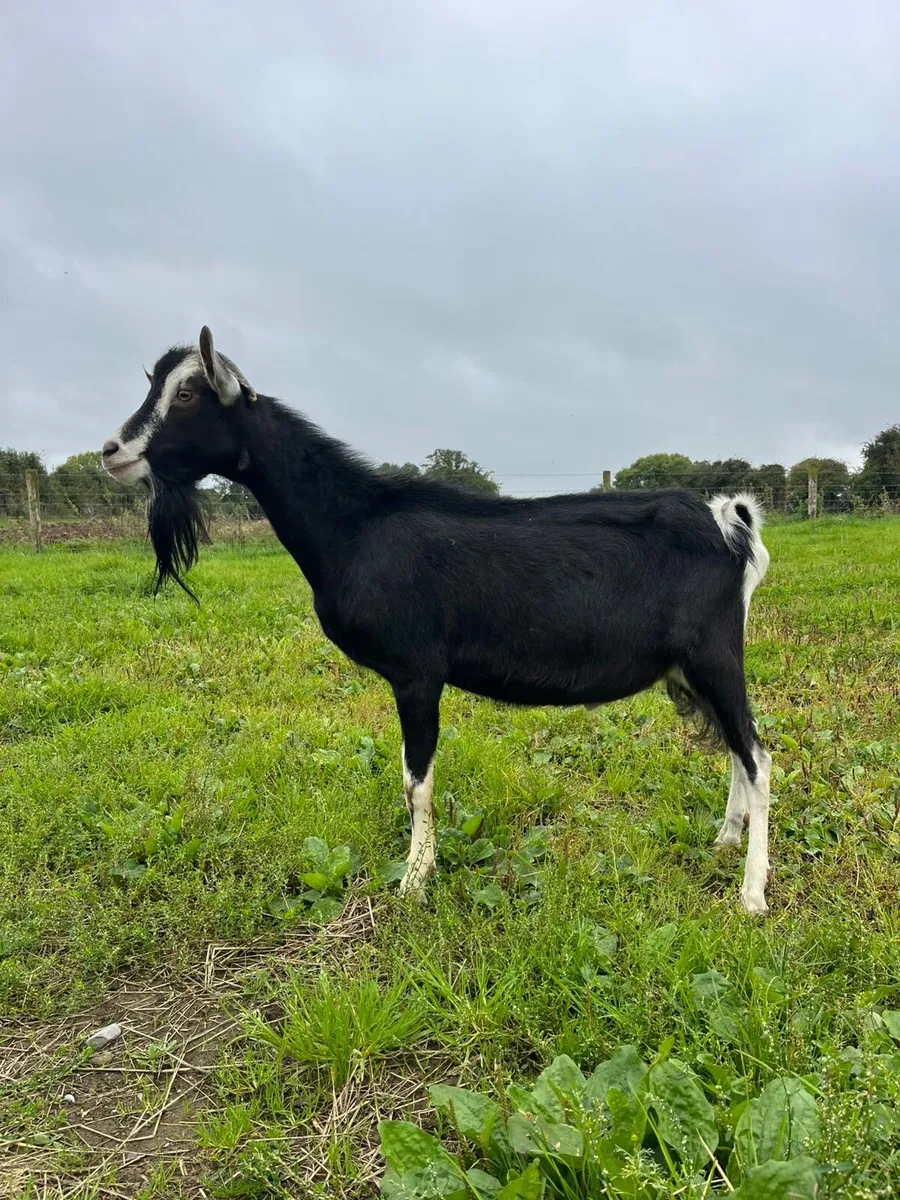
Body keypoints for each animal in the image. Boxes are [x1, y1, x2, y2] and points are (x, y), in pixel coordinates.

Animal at [102, 327, 773, 913]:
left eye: (186, 395)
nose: (112, 452)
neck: (356, 525)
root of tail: (729, 522)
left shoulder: (416, 671)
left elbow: (415, 781)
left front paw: (414, 880)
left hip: (714, 654)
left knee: (758, 758)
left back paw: (751, 894)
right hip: (691, 667)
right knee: (736, 750)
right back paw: (725, 839)